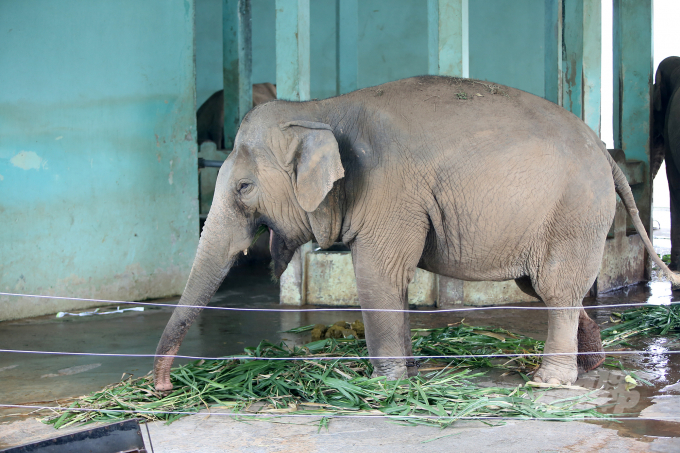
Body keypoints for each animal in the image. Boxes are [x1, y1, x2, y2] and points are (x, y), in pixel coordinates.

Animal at [154, 73, 680, 388]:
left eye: (244, 187)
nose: (162, 384)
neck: (318, 108)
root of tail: (607, 156)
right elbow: (395, 281)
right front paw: (409, 373)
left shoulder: (389, 193)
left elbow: (377, 275)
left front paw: (385, 385)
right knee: (544, 288)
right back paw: (590, 365)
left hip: (574, 214)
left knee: (556, 287)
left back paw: (549, 382)